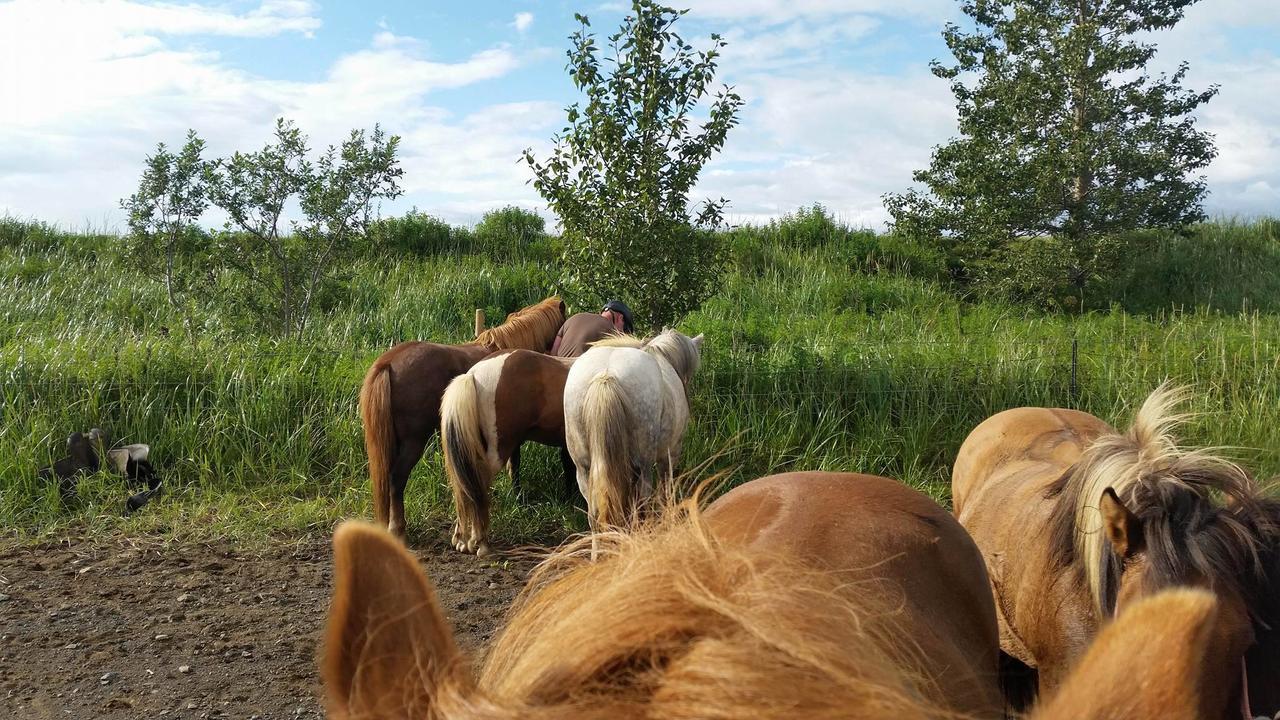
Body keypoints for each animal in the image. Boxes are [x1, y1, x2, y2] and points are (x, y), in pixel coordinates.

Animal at [358, 294, 563, 535]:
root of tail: (388, 362)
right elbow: (515, 465)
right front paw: (518, 498)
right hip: (414, 441)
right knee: (397, 478)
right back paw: (398, 527)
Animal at [560, 327, 701, 530]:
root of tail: (606, 376)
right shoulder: (671, 453)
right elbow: (666, 487)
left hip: (584, 468)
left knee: (593, 512)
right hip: (642, 464)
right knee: (641, 501)